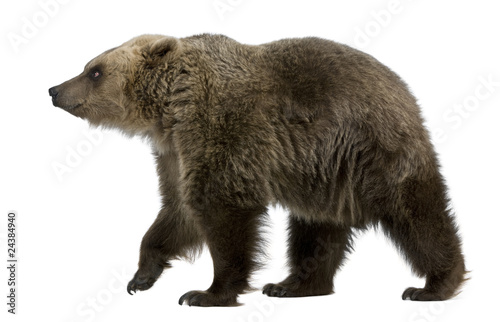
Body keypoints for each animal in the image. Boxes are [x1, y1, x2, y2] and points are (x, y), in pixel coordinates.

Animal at [48, 33, 466, 306]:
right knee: (315, 229)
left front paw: (206, 293)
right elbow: (177, 210)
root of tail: (404, 89)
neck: (172, 110)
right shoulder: (175, 153)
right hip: (322, 171)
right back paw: (292, 285)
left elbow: (222, 210)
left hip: (373, 149)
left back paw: (433, 285)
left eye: (94, 71)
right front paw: (142, 276)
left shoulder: (222, 132)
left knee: (415, 214)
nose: (54, 89)